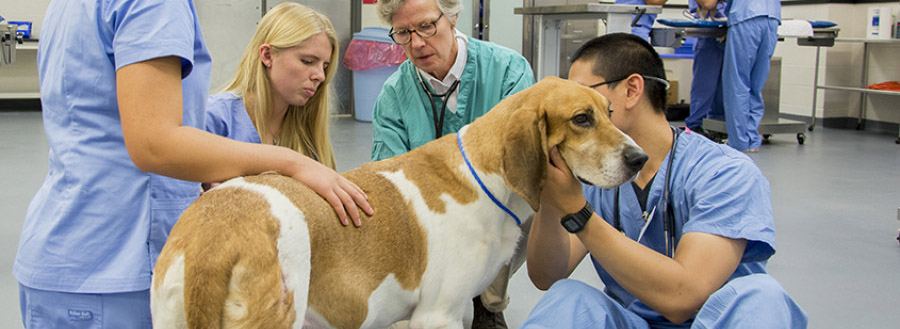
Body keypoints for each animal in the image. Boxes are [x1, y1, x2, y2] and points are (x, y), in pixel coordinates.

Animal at [149, 77, 648, 328]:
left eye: (609, 111)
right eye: (581, 119)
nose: (640, 158)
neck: (487, 177)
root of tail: (216, 234)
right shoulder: (438, 316)